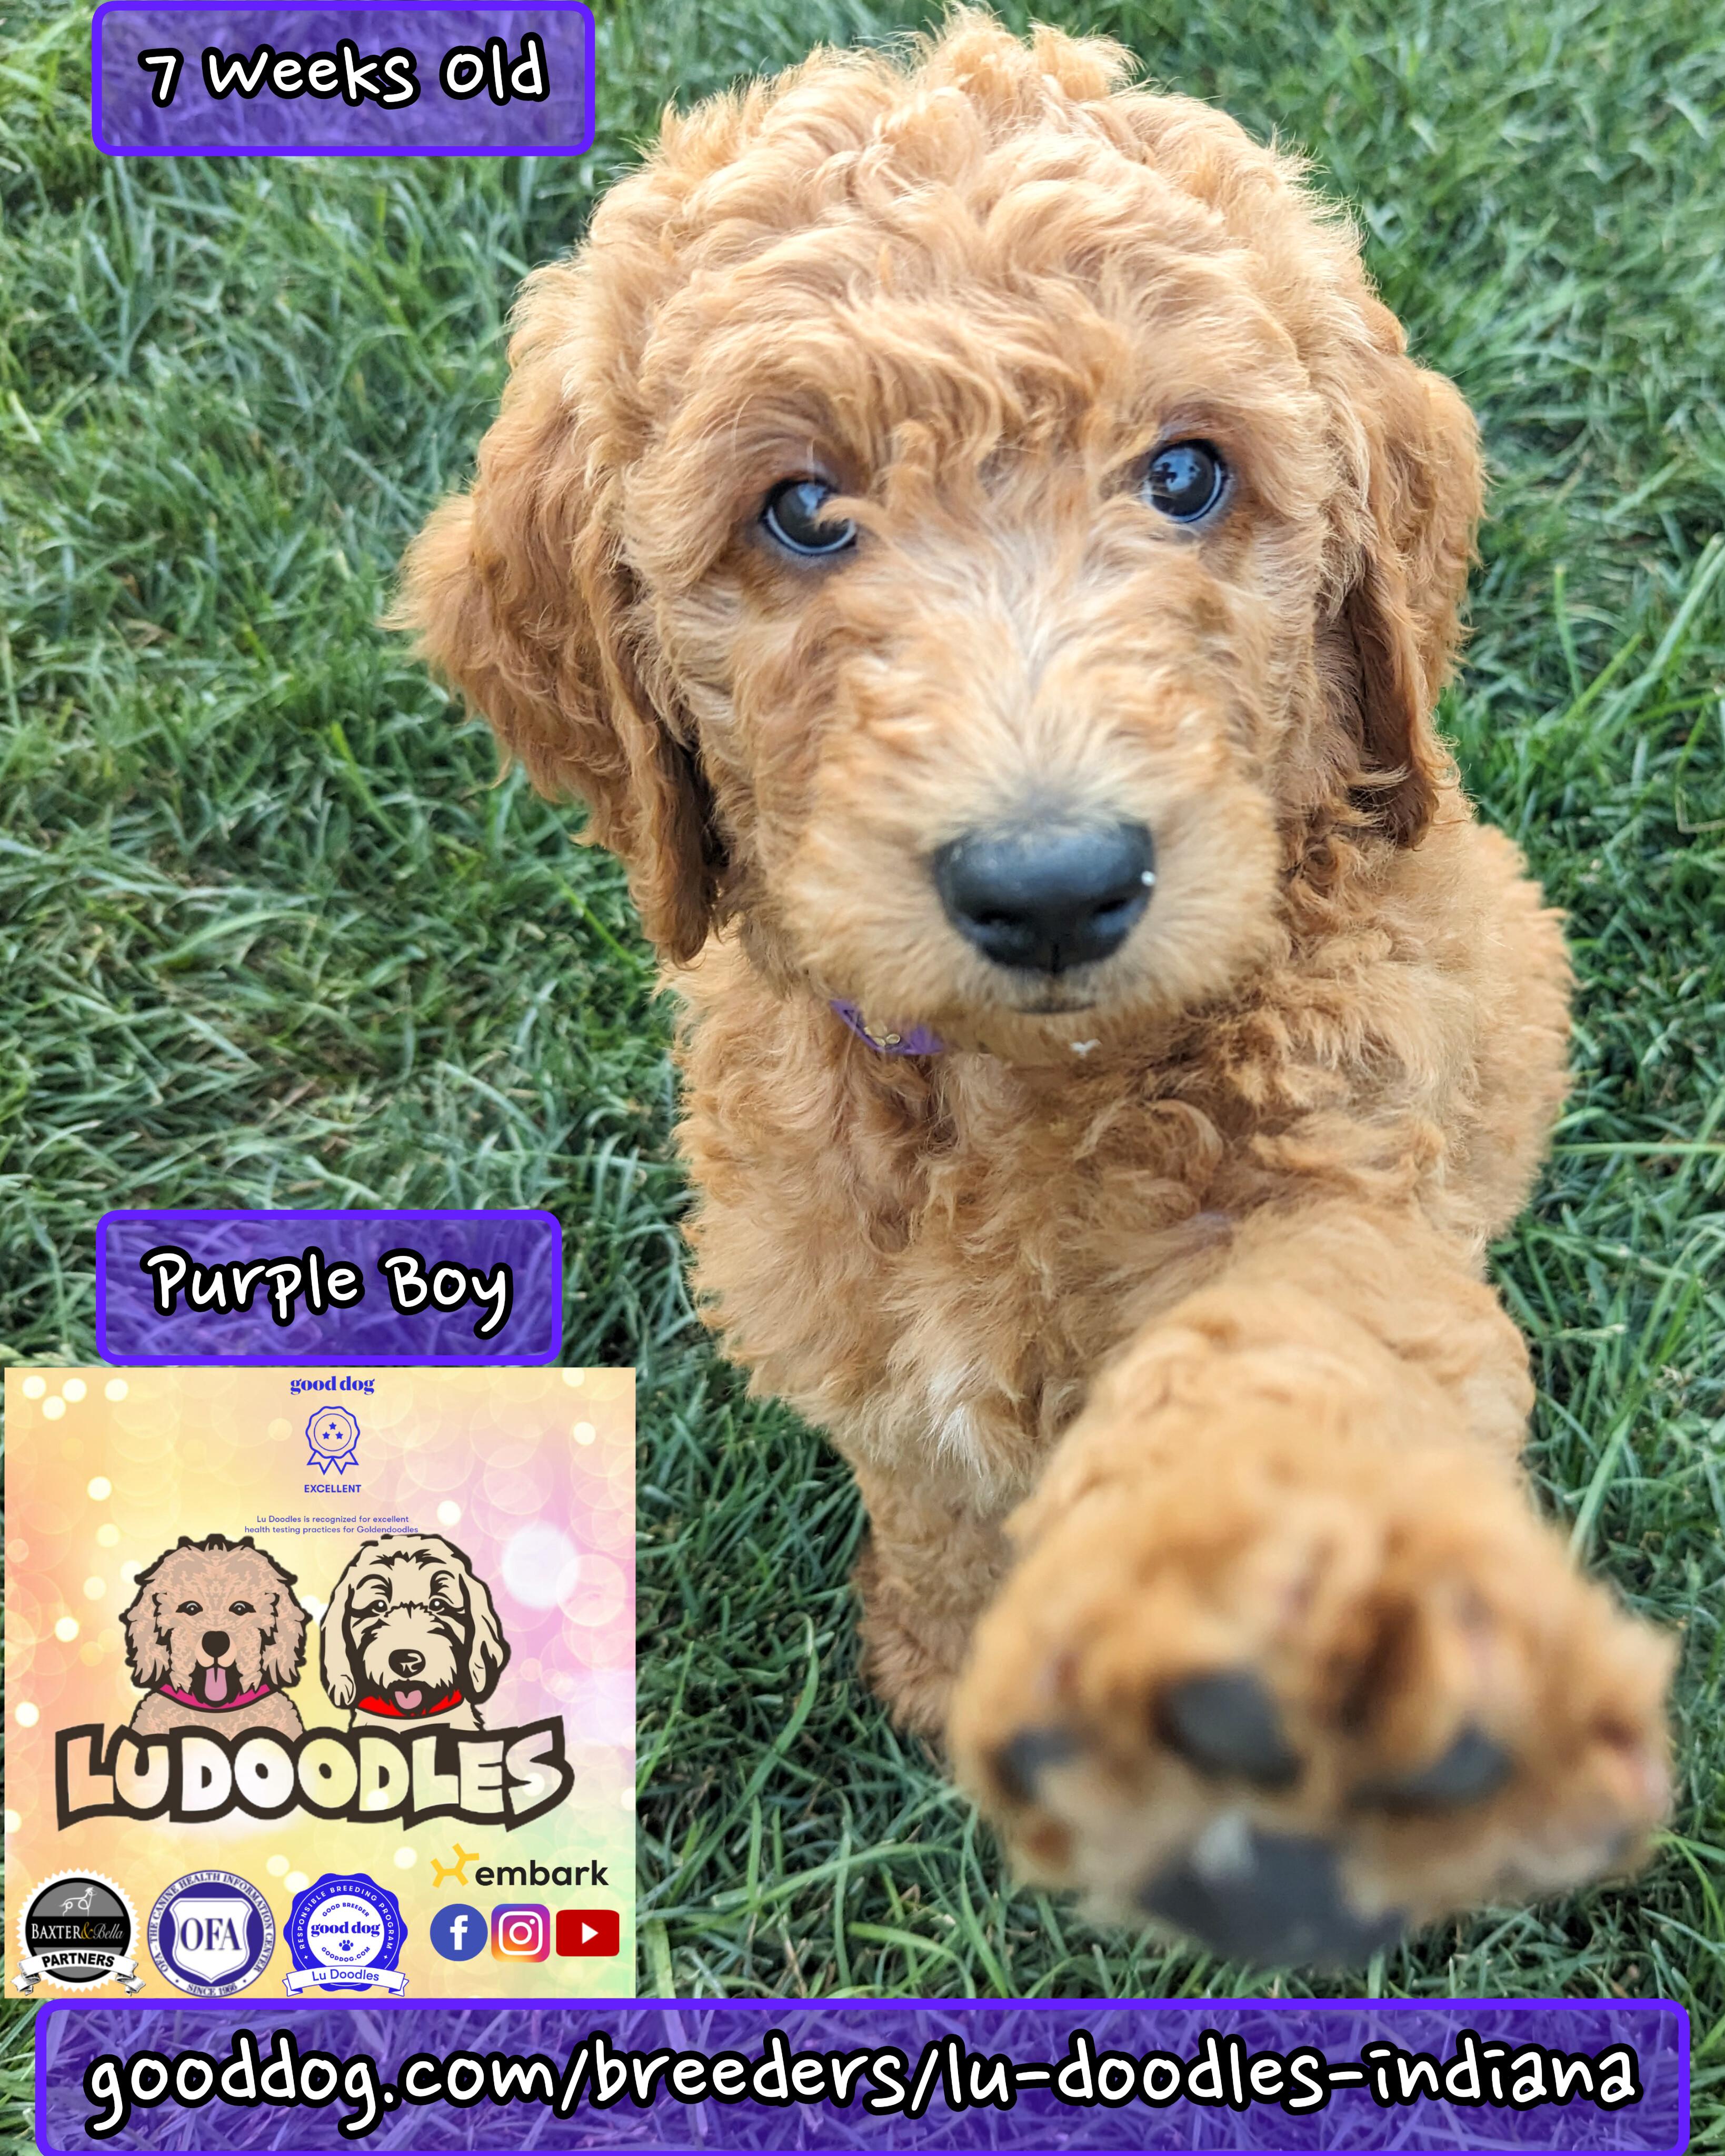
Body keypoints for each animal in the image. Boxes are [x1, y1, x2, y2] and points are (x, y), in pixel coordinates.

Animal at [397, 13, 1673, 1964]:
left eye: (1186, 475)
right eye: (800, 510)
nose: (1054, 882)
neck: (1012, 1081)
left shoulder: (1330, 1163)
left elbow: (1287, 1355)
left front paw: (1275, 1628)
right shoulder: (835, 1290)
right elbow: (928, 1492)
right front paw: (938, 1659)